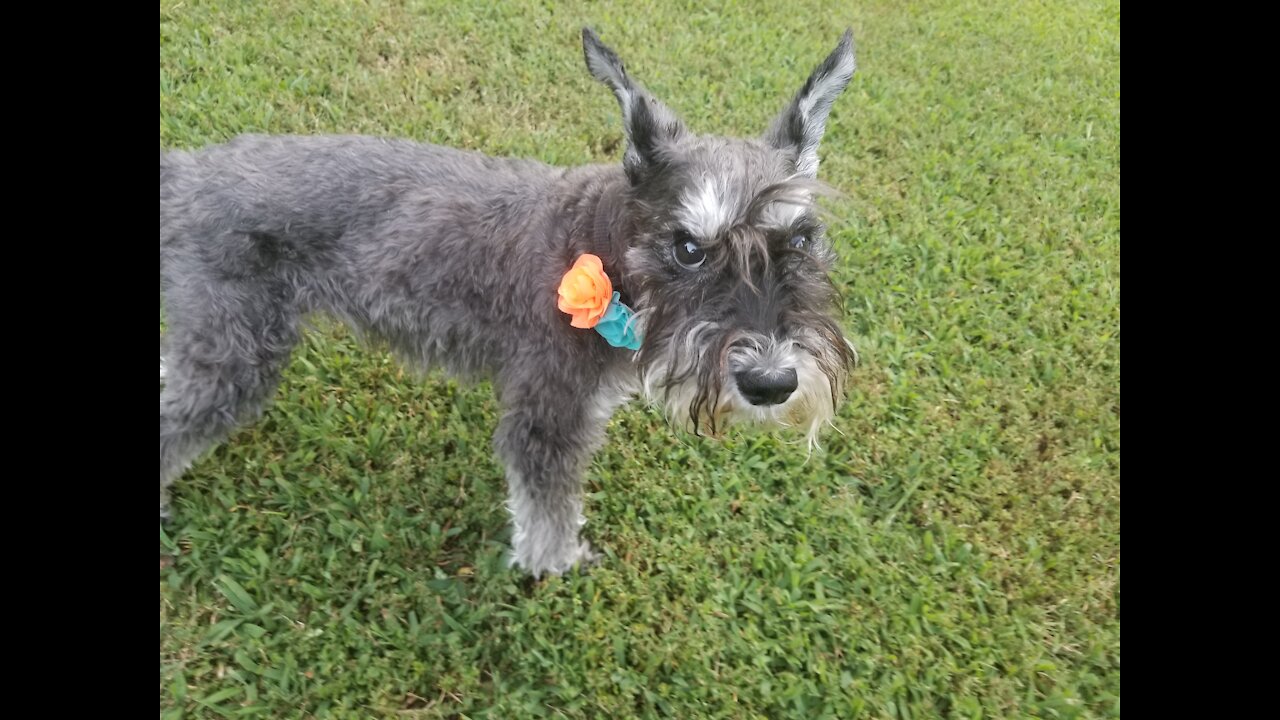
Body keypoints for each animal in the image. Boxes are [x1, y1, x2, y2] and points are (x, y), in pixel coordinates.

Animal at [160, 29, 860, 576]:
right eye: (688, 248)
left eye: (802, 238)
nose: (771, 382)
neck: (602, 244)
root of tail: (184, 173)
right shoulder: (548, 413)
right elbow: (547, 505)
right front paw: (554, 567)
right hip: (231, 359)